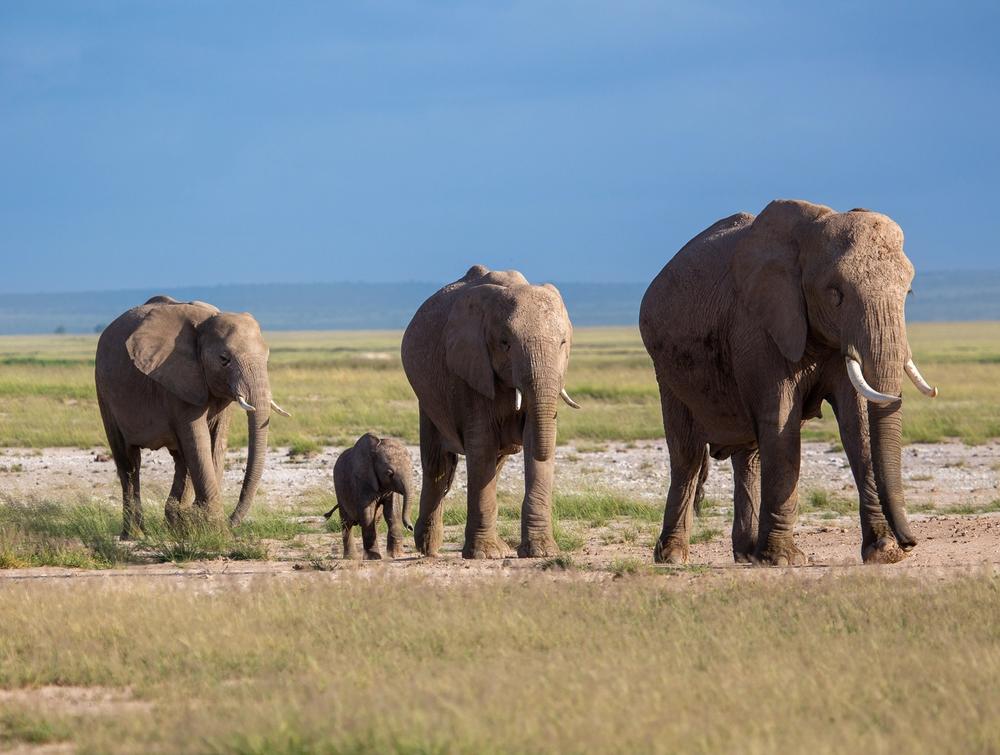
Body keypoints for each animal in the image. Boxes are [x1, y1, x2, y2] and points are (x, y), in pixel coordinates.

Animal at [95, 296, 291, 538]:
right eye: (224, 359)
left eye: (267, 358)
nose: (231, 522)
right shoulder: (177, 381)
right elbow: (198, 440)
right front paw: (214, 530)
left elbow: (215, 442)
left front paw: (194, 521)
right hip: (104, 391)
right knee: (129, 462)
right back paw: (135, 535)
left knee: (180, 459)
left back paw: (172, 519)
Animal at [401, 265, 580, 559]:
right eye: (505, 343)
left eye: (563, 343)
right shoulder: (470, 370)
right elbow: (482, 444)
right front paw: (484, 555)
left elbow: (533, 438)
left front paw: (541, 552)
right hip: (427, 398)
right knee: (437, 464)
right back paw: (429, 548)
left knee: (495, 461)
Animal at [639, 200, 938, 566]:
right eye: (835, 294)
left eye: (908, 292)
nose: (911, 542)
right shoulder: (759, 328)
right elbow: (782, 424)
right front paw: (784, 559)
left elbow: (858, 427)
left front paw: (884, 552)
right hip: (666, 367)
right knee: (688, 455)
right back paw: (672, 557)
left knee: (749, 457)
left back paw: (747, 555)